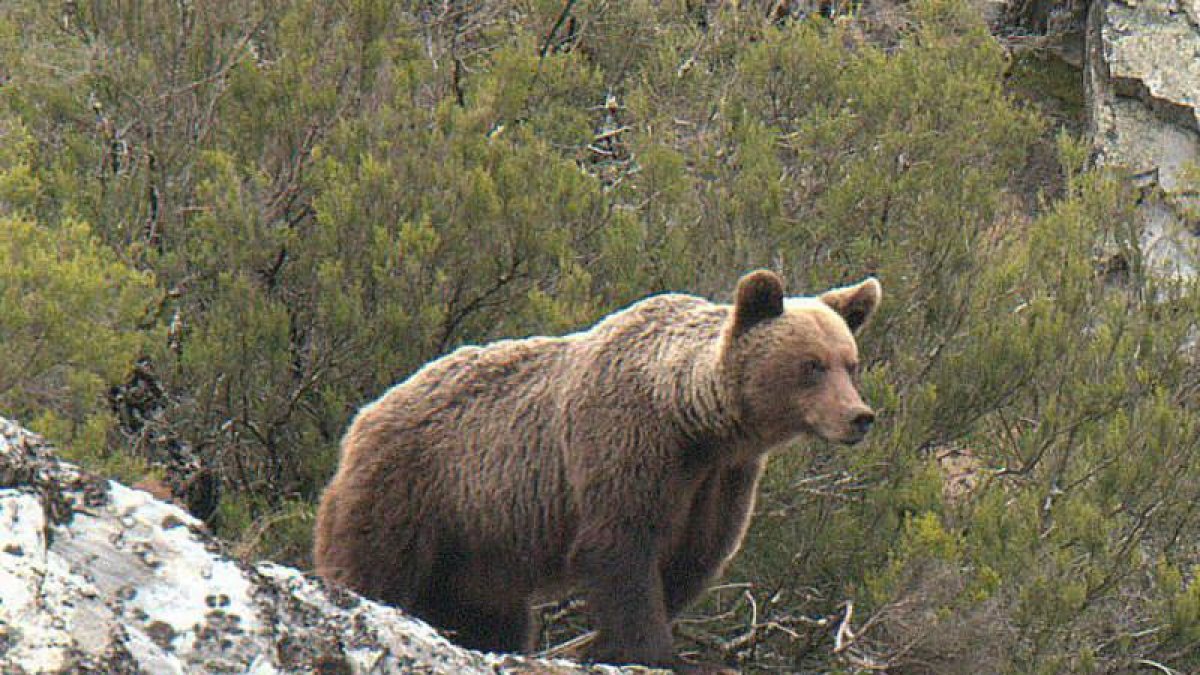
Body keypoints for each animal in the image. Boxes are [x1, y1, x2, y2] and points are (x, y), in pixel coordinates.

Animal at [313, 269, 881, 671]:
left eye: (850, 362)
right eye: (811, 365)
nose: (859, 417)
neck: (694, 421)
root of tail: (363, 417)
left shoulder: (721, 480)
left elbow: (692, 559)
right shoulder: (624, 445)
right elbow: (622, 549)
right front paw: (653, 651)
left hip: (478, 548)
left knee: (489, 616)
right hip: (413, 490)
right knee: (375, 567)